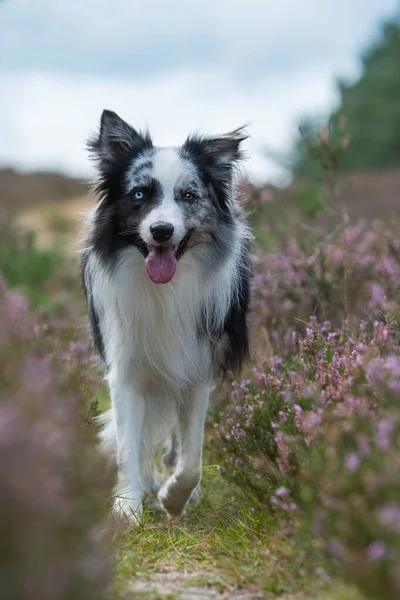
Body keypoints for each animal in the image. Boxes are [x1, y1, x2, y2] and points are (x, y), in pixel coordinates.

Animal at [79, 109, 252, 520]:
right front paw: (128, 506)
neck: (163, 291)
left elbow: (191, 457)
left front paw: (175, 497)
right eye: (140, 193)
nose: (161, 230)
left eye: (188, 196)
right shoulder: (125, 368)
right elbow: (128, 445)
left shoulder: (196, 365)